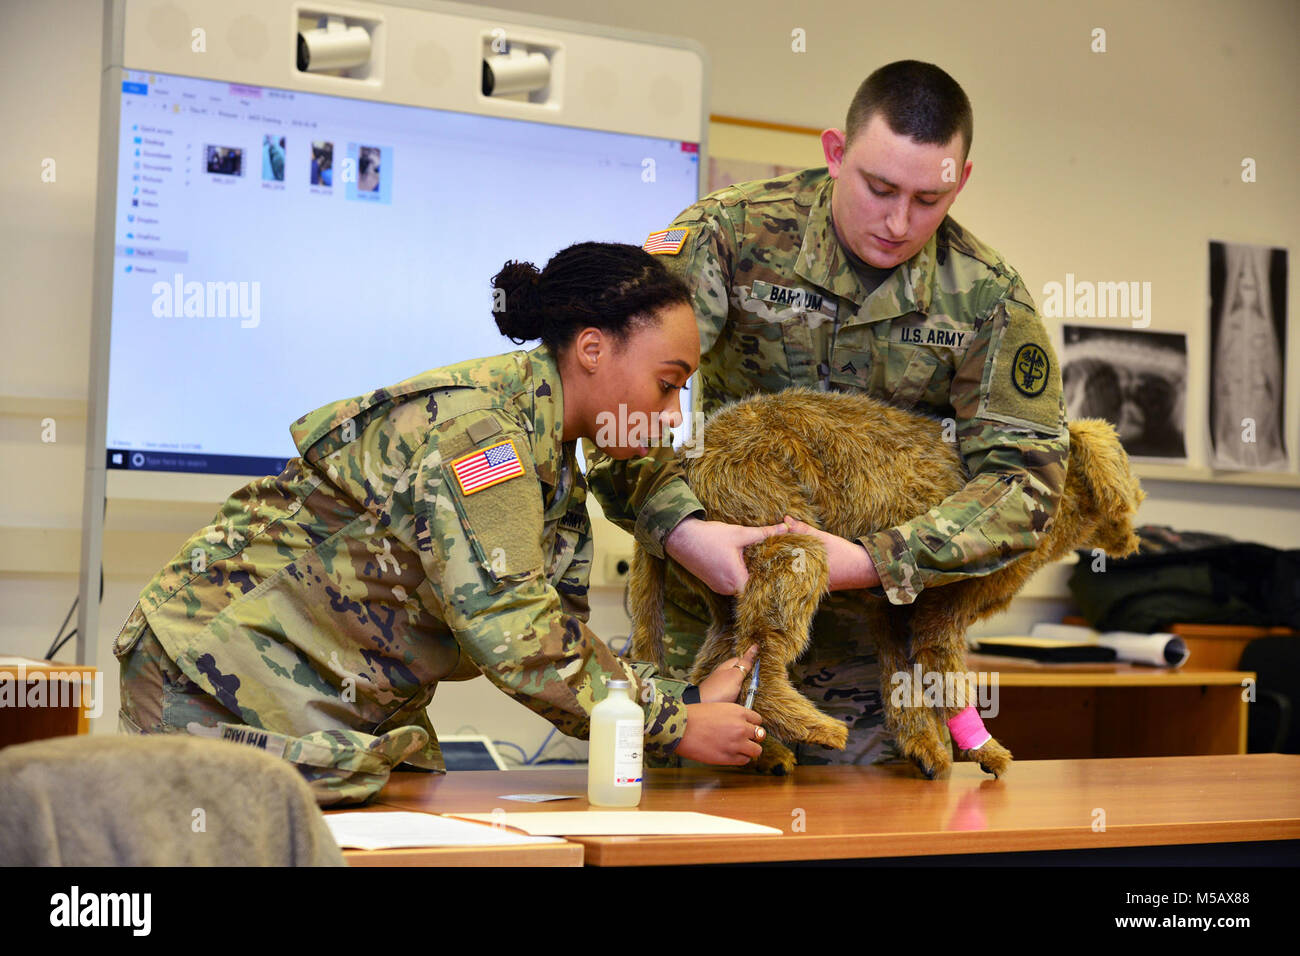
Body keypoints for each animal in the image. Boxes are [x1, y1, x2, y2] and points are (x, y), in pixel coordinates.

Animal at [629, 387, 1149, 780]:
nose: (1132, 538)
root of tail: (685, 459)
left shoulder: (893, 604)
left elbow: (902, 674)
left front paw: (926, 747)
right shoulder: (944, 605)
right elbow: (942, 670)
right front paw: (983, 750)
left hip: (722, 580)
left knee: (717, 662)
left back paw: (761, 747)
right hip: (769, 522)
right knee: (763, 640)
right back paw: (805, 723)